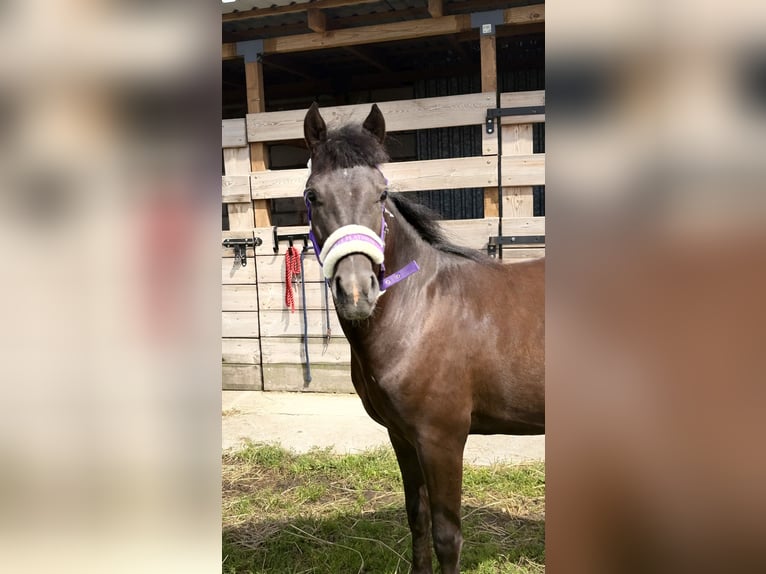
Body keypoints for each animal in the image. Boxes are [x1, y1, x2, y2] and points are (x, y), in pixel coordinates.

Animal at [302, 102, 545, 574]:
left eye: (381, 194)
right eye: (311, 196)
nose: (356, 292)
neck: (420, 310)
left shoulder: (442, 439)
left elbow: (446, 536)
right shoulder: (402, 436)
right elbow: (416, 519)